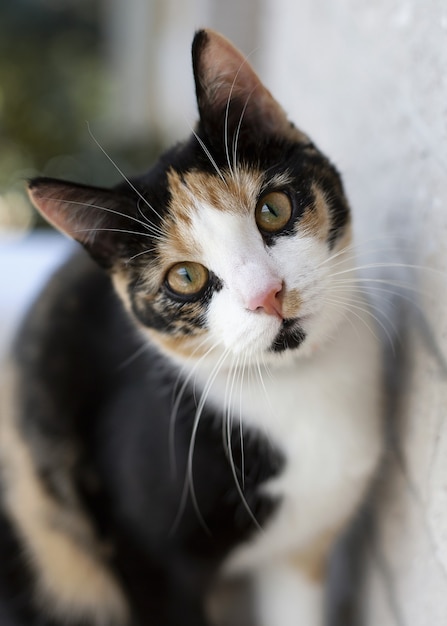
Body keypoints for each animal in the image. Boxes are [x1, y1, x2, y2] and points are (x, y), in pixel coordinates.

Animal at [0, 28, 384, 624]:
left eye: (273, 208)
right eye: (185, 276)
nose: (267, 295)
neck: (296, 384)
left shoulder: (300, 552)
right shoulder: (153, 568)